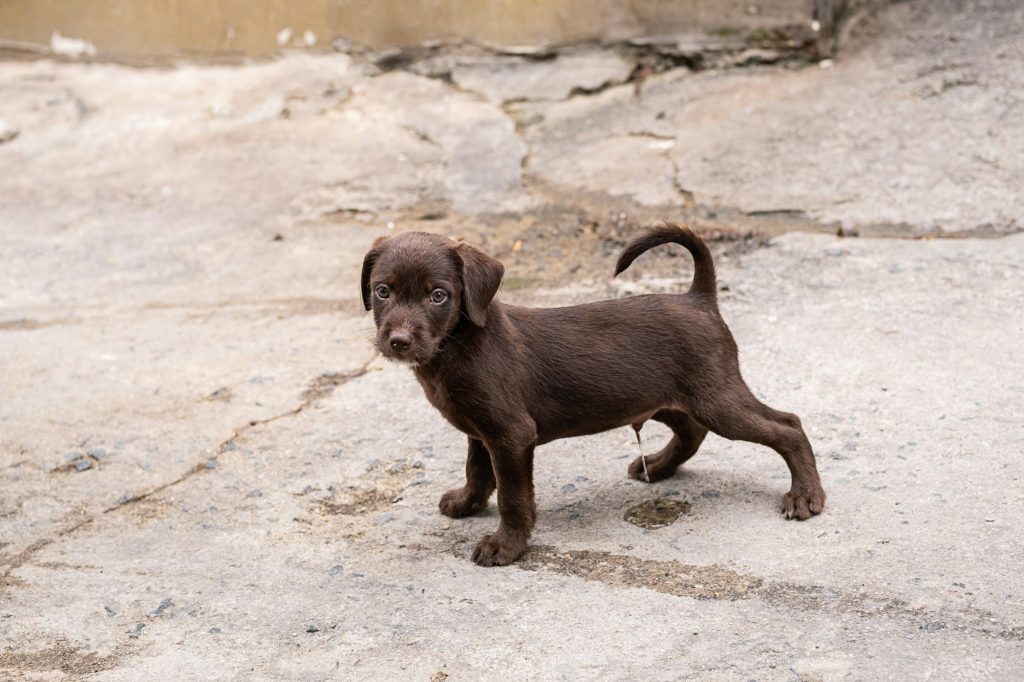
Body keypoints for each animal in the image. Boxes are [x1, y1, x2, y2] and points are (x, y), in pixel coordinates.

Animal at [360, 223, 823, 561]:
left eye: (438, 295)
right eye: (383, 290)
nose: (398, 341)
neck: (456, 345)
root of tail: (699, 298)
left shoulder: (510, 435)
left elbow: (513, 495)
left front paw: (506, 545)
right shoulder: (480, 429)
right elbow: (477, 471)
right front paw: (466, 503)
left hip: (717, 397)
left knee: (788, 425)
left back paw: (806, 495)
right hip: (658, 397)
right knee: (693, 431)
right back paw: (657, 465)